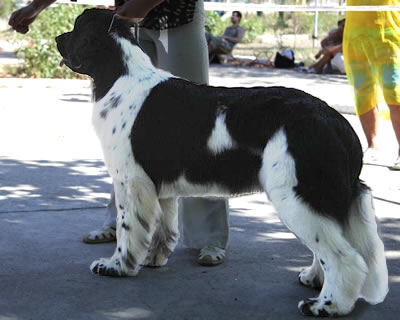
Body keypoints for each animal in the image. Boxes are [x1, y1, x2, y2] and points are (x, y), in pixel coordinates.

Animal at [56, 8, 388, 316]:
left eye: (76, 27)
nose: (58, 38)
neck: (119, 74)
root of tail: (340, 126)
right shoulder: (157, 185)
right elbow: (162, 226)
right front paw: (153, 259)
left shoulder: (131, 181)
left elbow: (128, 229)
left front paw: (116, 266)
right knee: (331, 249)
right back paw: (313, 279)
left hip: (297, 195)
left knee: (344, 257)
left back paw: (326, 305)